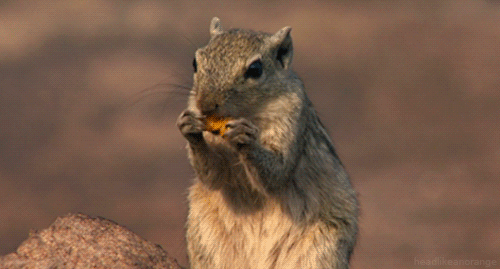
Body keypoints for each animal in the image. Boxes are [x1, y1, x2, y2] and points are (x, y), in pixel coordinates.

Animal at [178, 17, 358, 268]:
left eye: (255, 69)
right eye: (195, 62)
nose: (205, 105)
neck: (249, 112)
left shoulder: (292, 117)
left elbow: (277, 173)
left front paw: (245, 138)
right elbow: (213, 176)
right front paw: (188, 127)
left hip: (320, 252)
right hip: (205, 239)